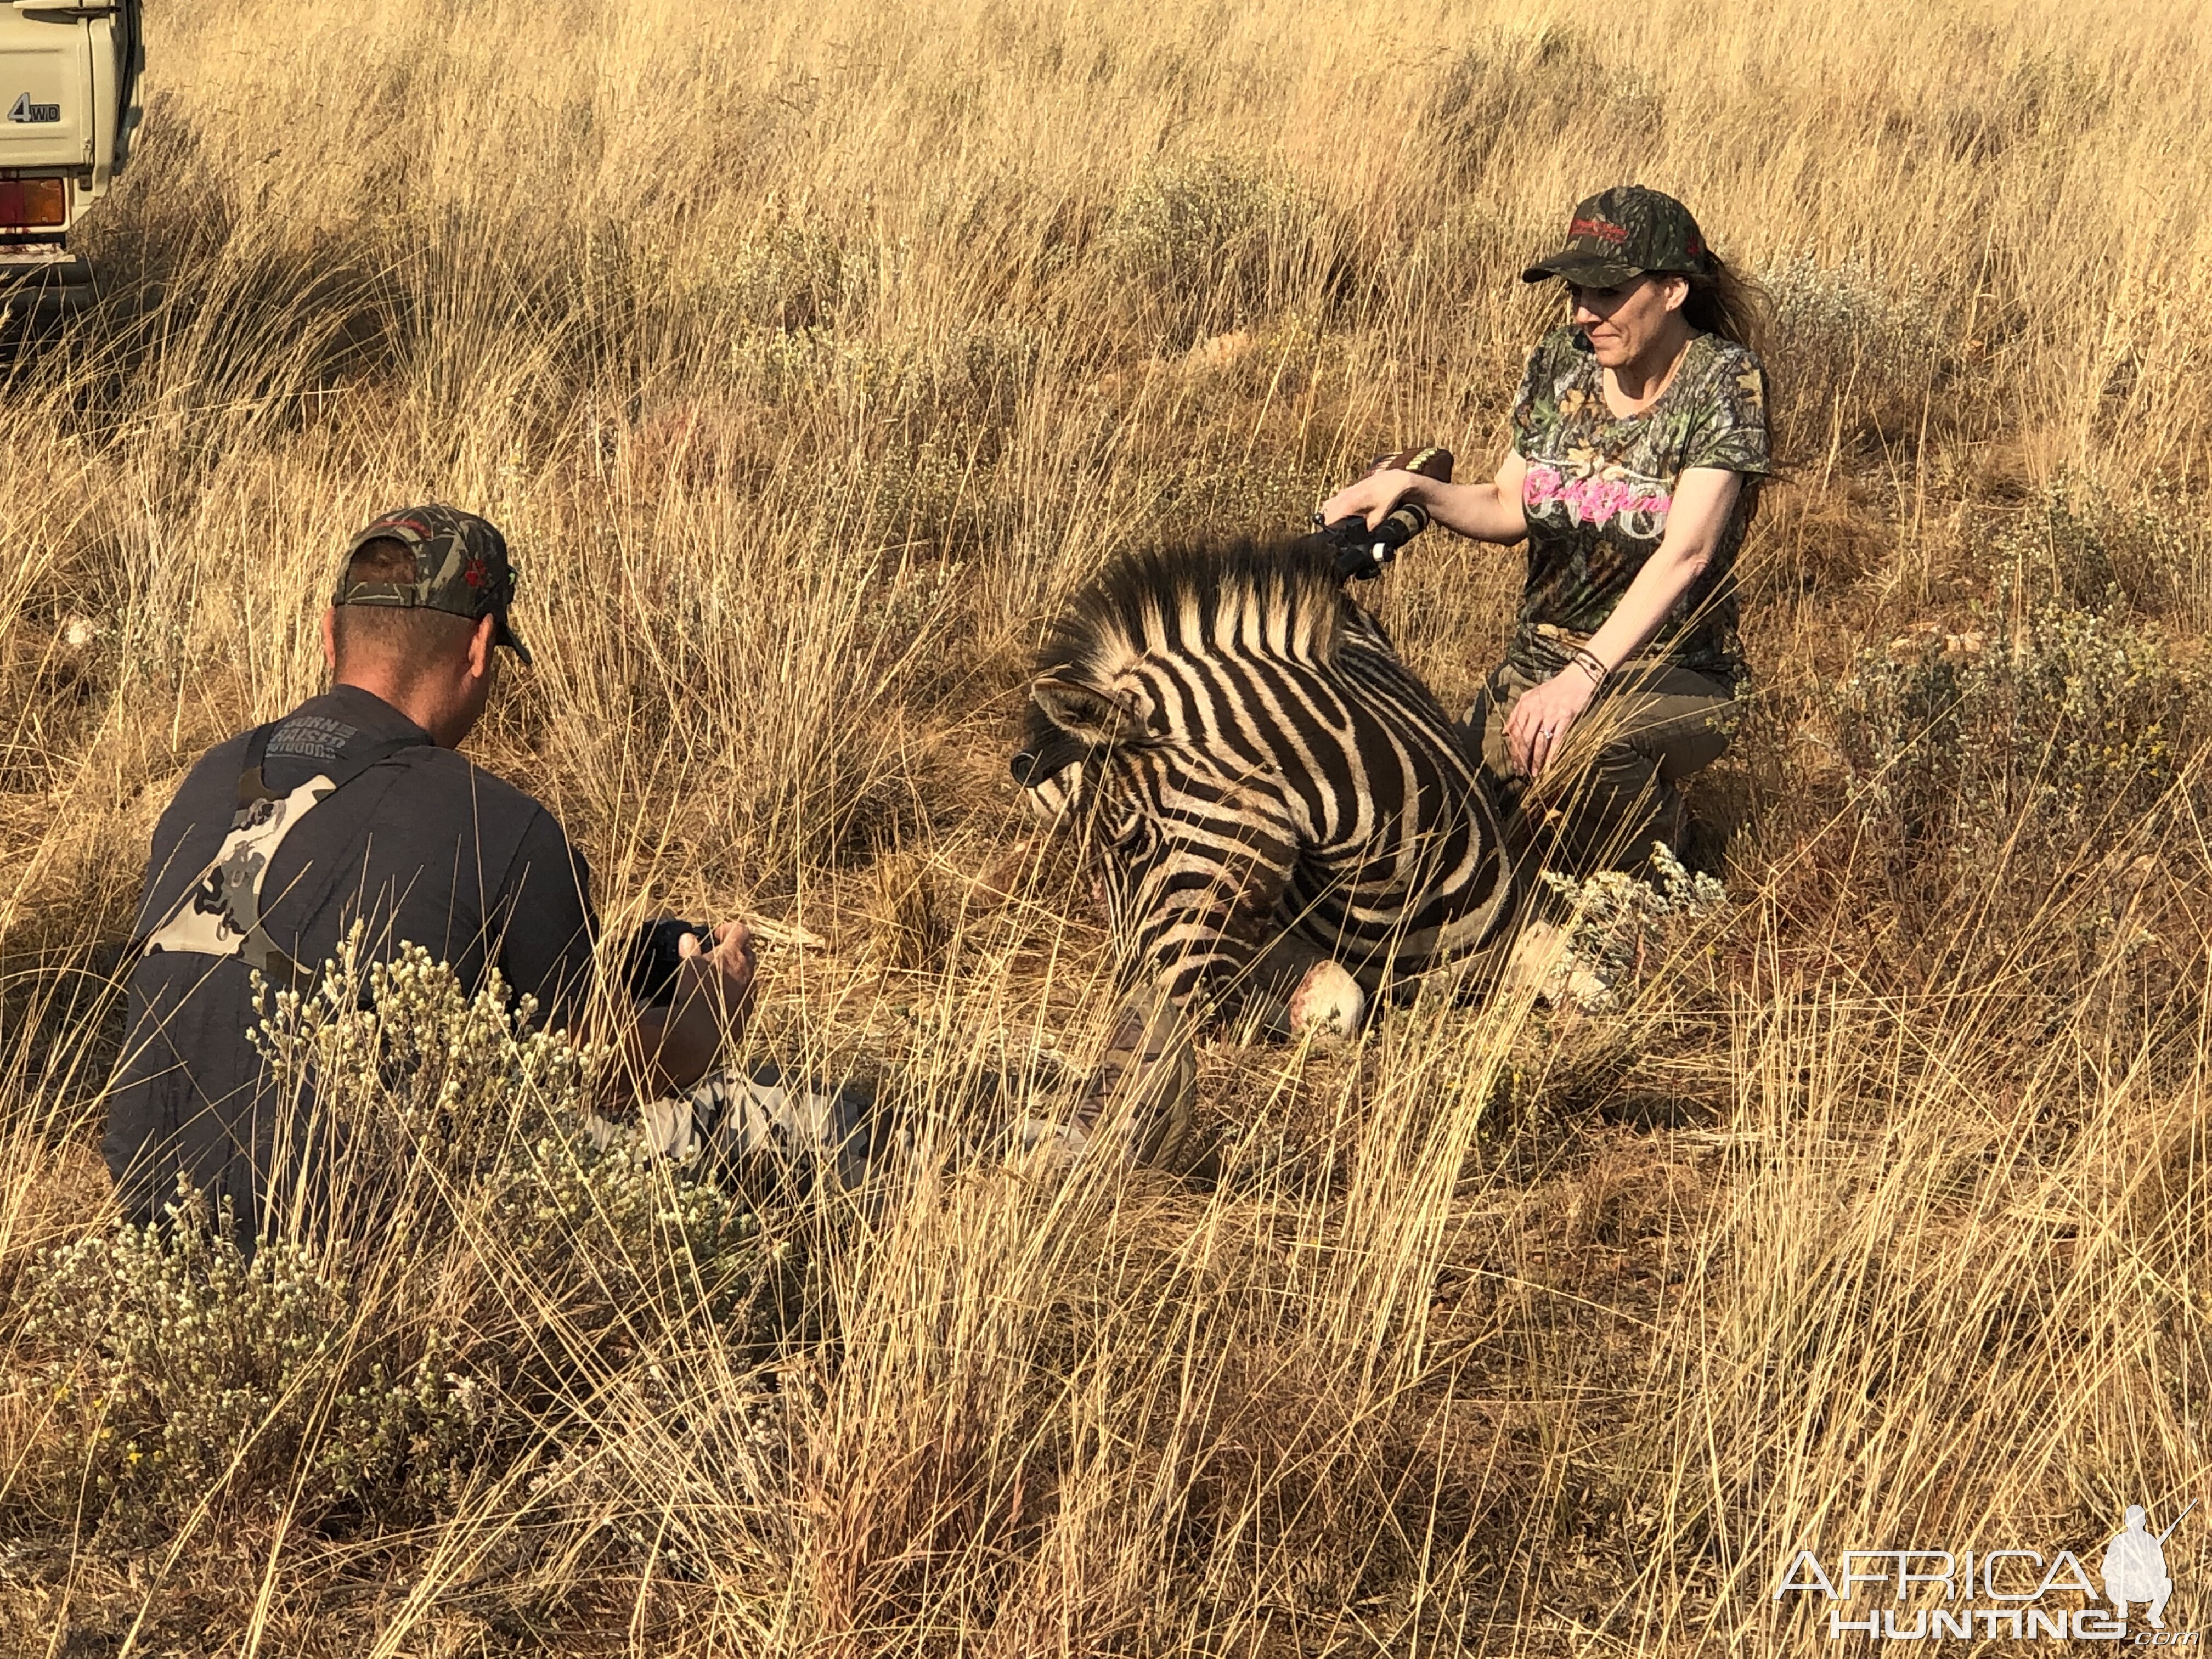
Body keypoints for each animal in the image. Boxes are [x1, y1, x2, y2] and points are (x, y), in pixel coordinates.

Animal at [1013, 539, 1522, 1159]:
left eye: (1132, 842)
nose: (1133, 1011)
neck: (1390, 885)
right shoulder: (1265, 935)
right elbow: (1338, 1000)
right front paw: (1272, 1014)